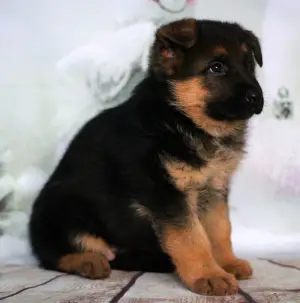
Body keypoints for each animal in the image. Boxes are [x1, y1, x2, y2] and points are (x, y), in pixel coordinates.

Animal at [28, 17, 262, 296]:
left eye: (249, 65)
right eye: (216, 67)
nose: (256, 98)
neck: (182, 119)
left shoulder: (215, 190)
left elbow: (219, 229)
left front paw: (227, 263)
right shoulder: (166, 194)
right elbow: (192, 237)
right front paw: (209, 274)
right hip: (61, 205)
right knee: (52, 256)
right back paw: (88, 261)